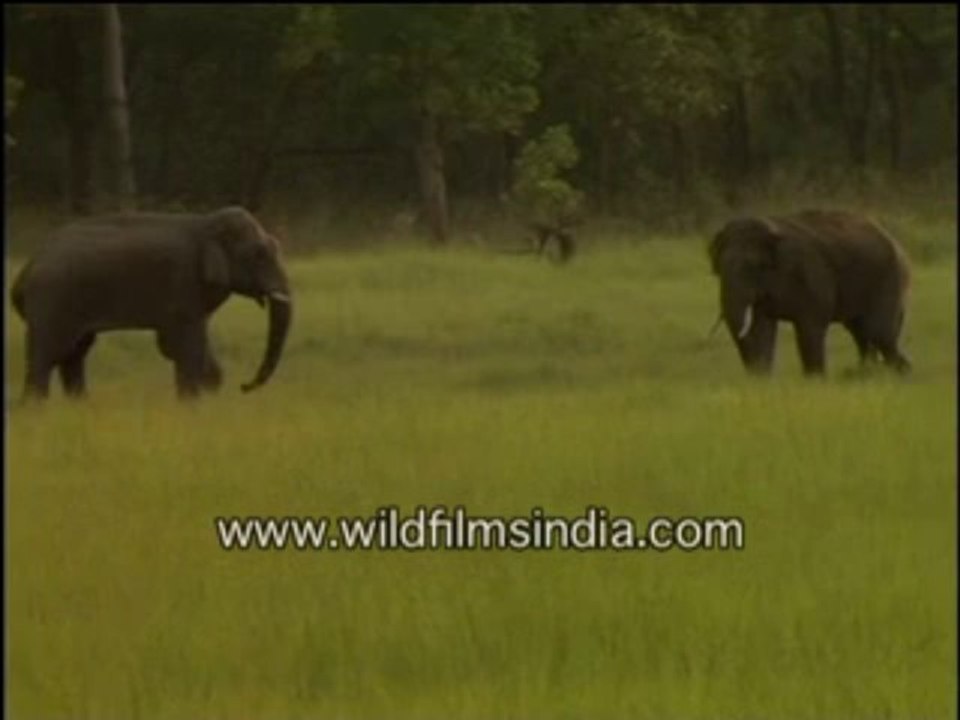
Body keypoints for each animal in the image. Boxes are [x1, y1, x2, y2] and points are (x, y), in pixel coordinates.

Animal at [10, 206, 292, 400]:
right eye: (259, 254)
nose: (244, 386)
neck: (205, 222)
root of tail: (28, 266)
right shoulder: (184, 283)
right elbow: (184, 347)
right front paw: (191, 405)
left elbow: (189, 346)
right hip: (51, 301)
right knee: (47, 356)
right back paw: (36, 409)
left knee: (74, 354)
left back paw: (79, 407)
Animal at [708, 209, 911, 376]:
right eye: (718, 268)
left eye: (753, 267)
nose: (753, 373)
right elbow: (761, 327)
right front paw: (761, 380)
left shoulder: (811, 275)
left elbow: (810, 326)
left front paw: (815, 380)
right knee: (862, 333)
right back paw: (868, 373)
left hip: (888, 280)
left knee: (879, 333)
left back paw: (900, 373)